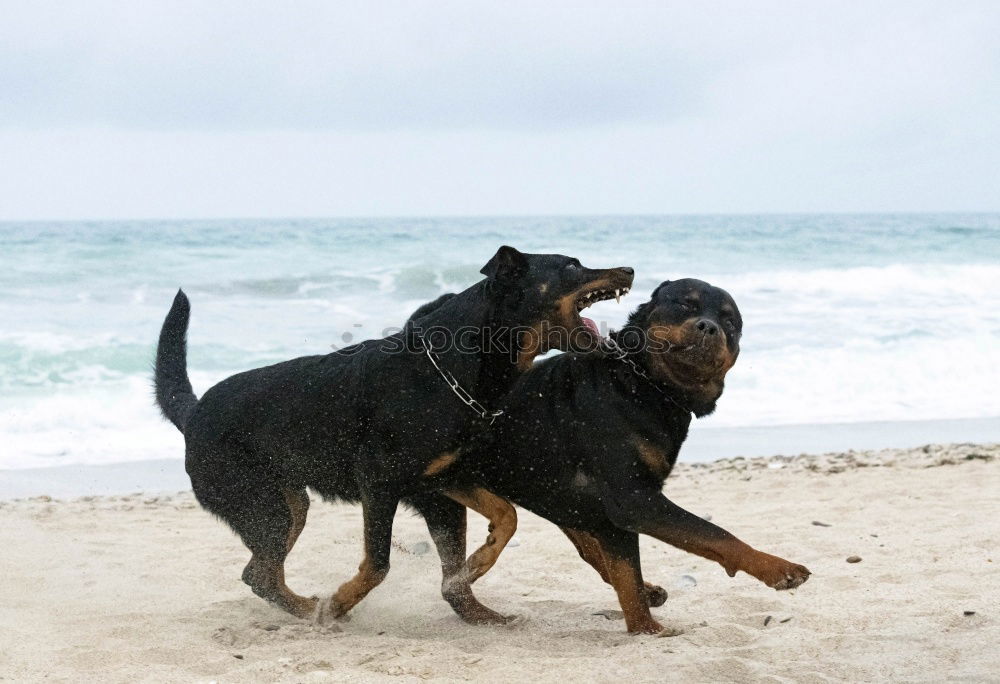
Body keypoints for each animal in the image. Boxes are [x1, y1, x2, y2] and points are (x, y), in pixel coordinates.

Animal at [152, 246, 628, 624]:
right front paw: (341, 601)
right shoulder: (379, 484)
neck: (449, 372)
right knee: (261, 574)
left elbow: (501, 522)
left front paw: (475, 592)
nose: (629, 270)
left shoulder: (441, 485)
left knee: (260, 571)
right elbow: (378, 563)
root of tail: (193, 414)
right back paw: (315, 611)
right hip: (264, 507)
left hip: (289, 503)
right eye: (572, 266)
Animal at [432, 280, 812, 632]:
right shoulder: (632, 498)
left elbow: (626, 572)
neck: (646, 385)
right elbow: (714, 534)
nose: (708, 327)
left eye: (729, 321)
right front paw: (778, 569)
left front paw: (646, 627)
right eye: (685, 305)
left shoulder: (613, 506)